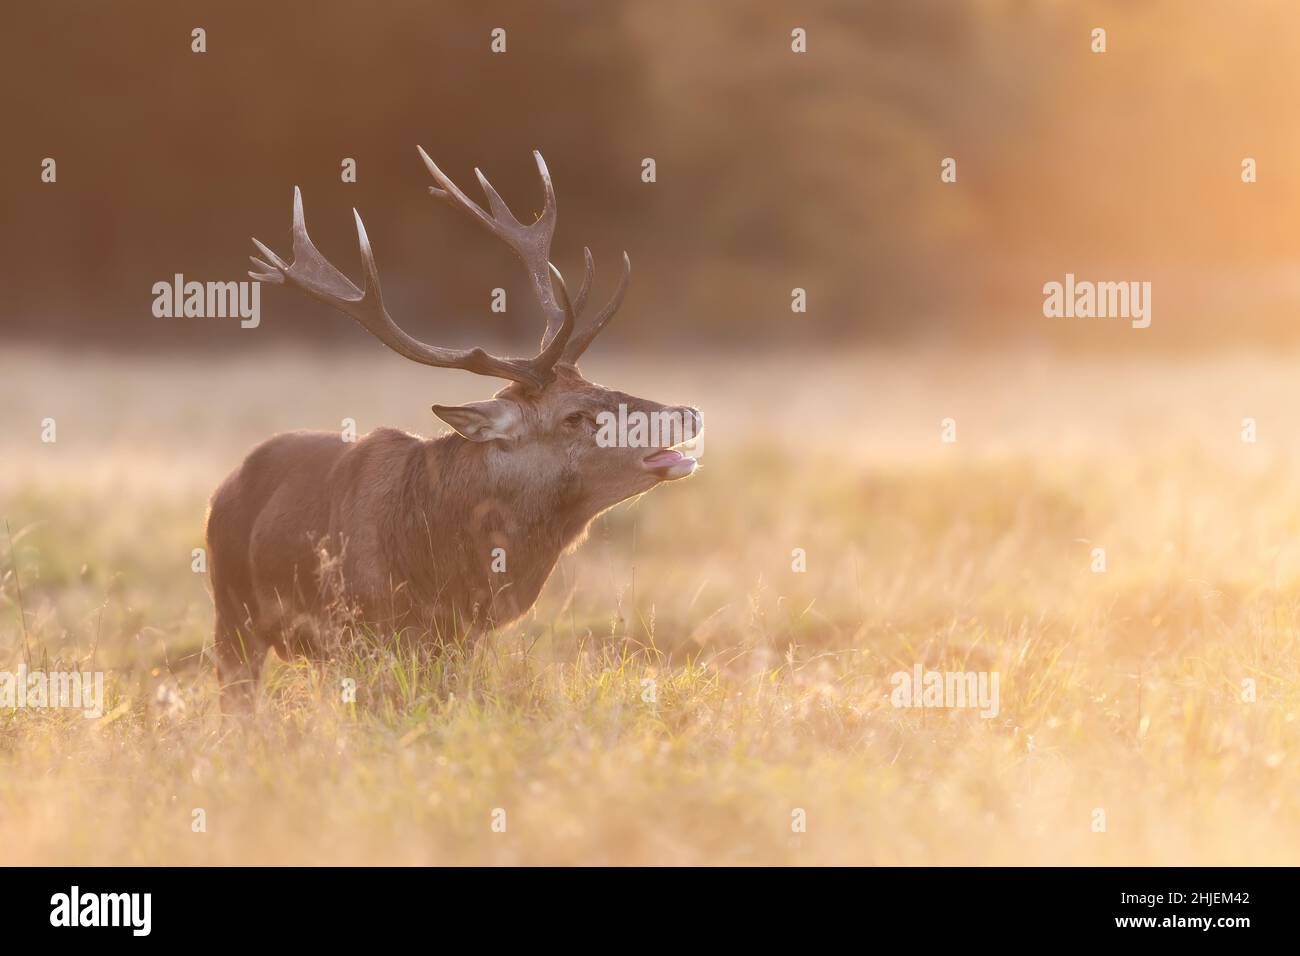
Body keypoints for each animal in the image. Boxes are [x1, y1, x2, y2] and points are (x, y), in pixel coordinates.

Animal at [206, 149, 702, 706]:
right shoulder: (362, 633)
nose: (688, 412)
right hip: (231, 615)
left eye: (598, 383)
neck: (445, 563)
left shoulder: (460, 639)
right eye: (573, 415)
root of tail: (222, 490)